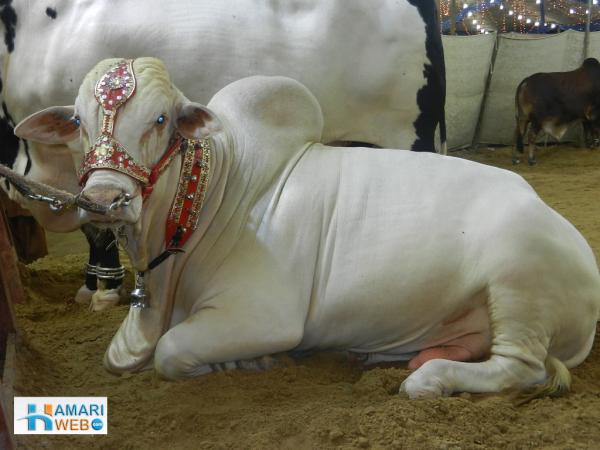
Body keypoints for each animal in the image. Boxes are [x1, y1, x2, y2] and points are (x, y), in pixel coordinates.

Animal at [12, 59, 600, 398]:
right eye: (79, 122)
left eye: (161, 120)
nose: (103, 200)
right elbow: (121, 356)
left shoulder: (265, 313)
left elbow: (171, 352)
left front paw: (247, 361)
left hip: (520, 280)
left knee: (521, 368)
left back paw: (429, 378)